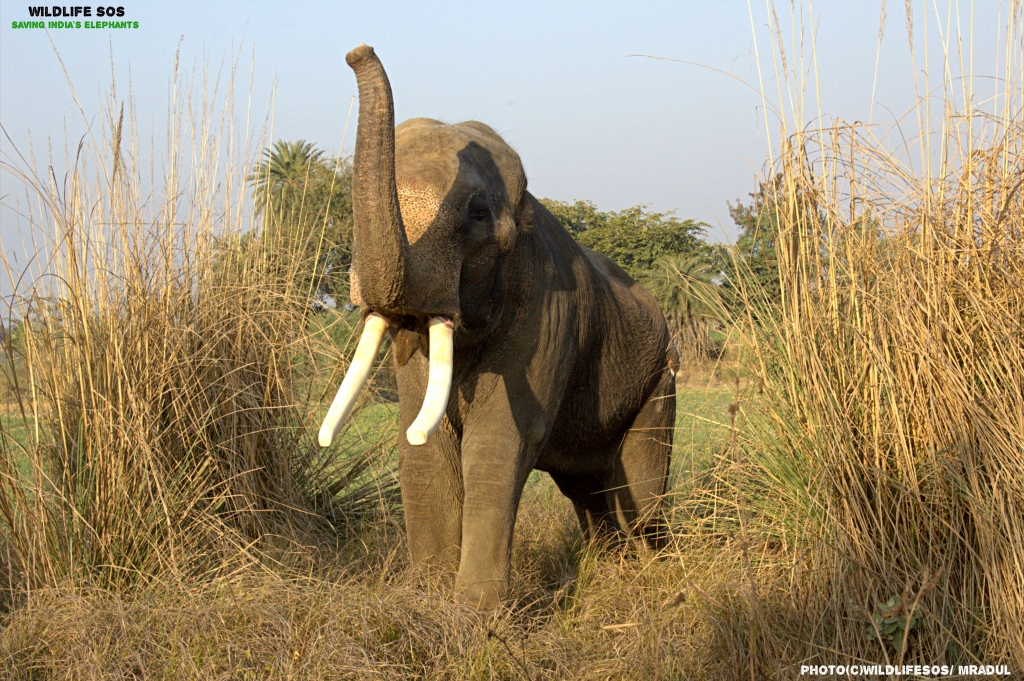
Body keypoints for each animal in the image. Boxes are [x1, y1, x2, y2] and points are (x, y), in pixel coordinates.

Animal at [319, 45, 677, 611]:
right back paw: (610, 570)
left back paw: (651, 575)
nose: (359, 51)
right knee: (589, 489)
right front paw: (424, 598)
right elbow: (422, 443)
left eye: (480, 214)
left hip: (660, 380)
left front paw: (475, 613)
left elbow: (498, 441)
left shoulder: (547, 314)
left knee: (641, 494)